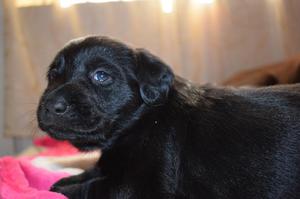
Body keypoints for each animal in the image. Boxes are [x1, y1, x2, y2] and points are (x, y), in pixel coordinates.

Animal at [37, 36, 300, 199]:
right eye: (52, 75)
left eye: (101, 76)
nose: (51, 105)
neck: (142, 123)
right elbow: (92, 171)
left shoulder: (138, 187)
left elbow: (90, 187)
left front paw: (59, 186)